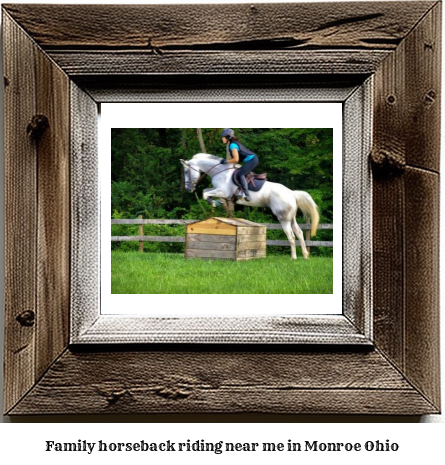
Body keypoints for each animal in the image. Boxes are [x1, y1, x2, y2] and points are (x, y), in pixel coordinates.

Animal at [180, 154, 320, 260]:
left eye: (186, 171)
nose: (188, 189)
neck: (220, 171)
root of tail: (292, 193)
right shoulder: (218, 190)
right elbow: (206, 191)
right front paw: (215, 202)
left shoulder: (223, 191)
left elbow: (205, 193)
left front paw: (215, 203)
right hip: (291, 218)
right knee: (299, 233)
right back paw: (305, 255)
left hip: (283, 218)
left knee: (291, 236)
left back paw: (294, 257)